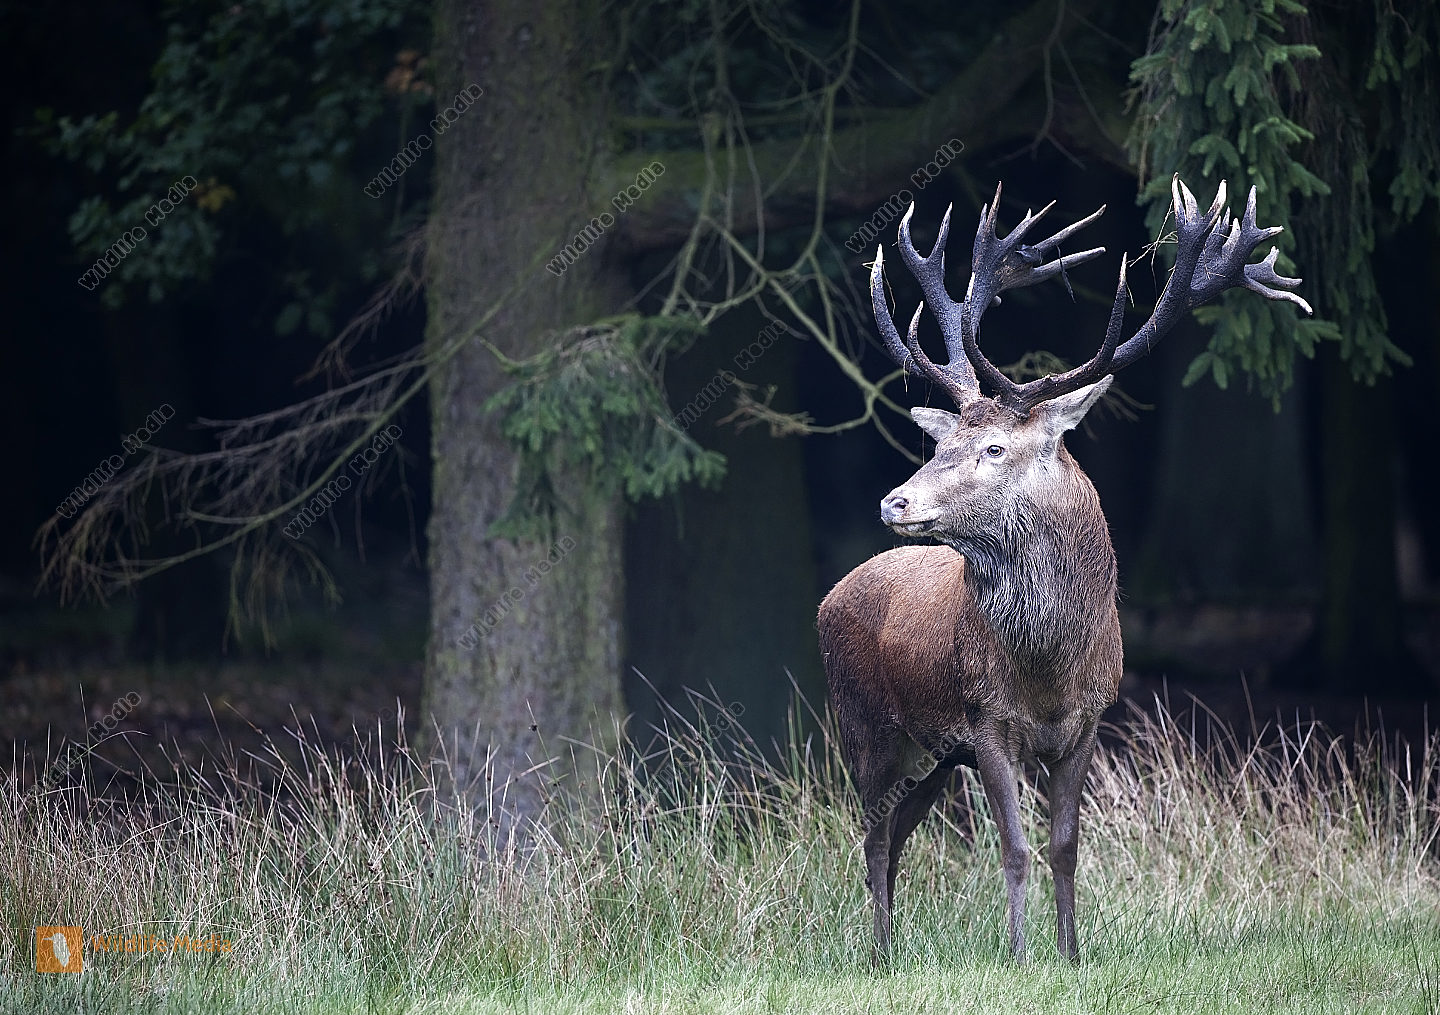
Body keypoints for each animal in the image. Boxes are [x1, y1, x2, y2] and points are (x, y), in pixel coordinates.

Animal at [818, 176, 1310, 964]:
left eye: (992, 447)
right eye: (943, 442)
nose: (895, 500)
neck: (1048, 668)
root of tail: (831, 595)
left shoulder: (1088, 723)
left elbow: (1065, 846)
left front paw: (1071, 952)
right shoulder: (986, 722)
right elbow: (1015, 848)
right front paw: (1020, 955)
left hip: (934, 759)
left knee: (894, 837)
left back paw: (889, 950)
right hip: (865, 726)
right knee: (871, 838)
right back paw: (879, 955)